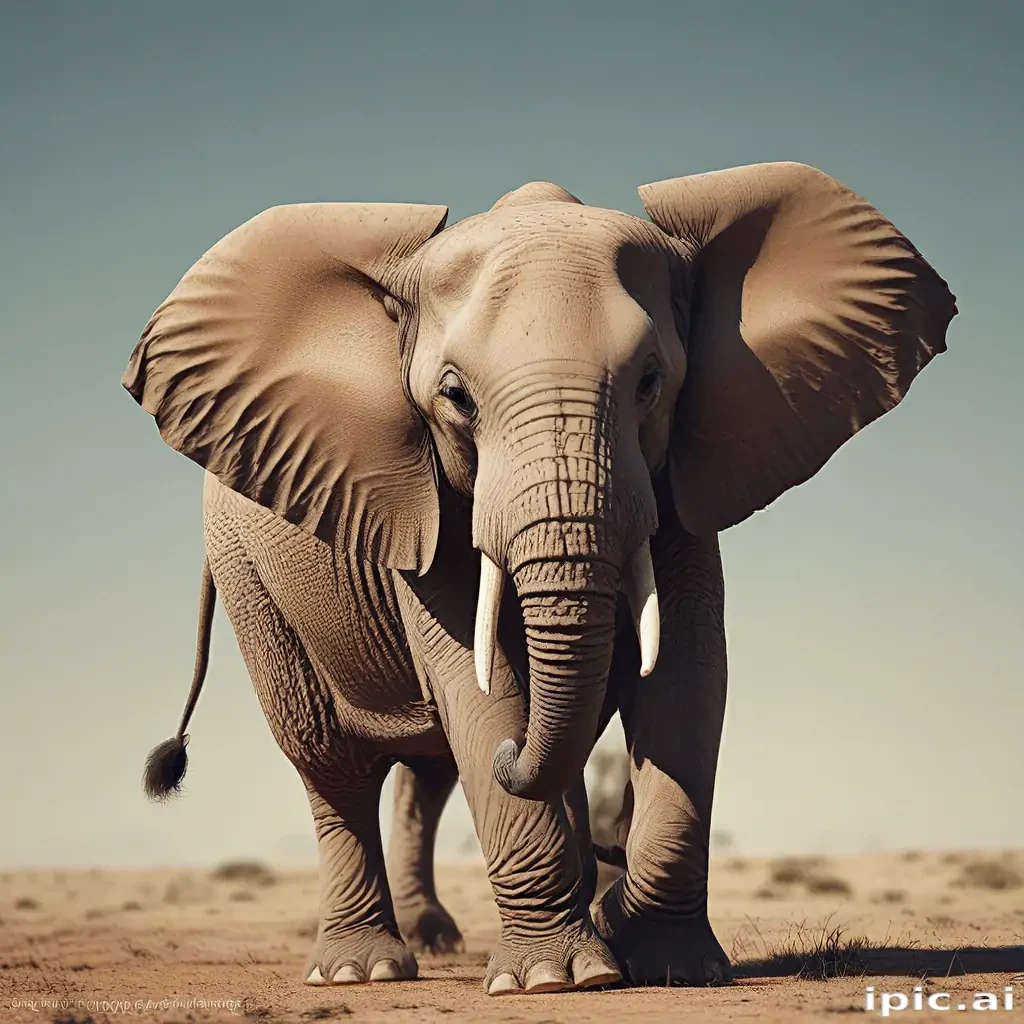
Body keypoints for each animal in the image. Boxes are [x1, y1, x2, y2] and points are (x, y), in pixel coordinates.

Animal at [123, 163, 956, 995]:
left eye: (651, 382)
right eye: (455, 396)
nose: (512, 756)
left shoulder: (686, 480)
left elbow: (686, 677)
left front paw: (671, 965)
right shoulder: (424, 506)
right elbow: (481, 684)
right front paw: (556, 978)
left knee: (429, 776)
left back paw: (446, 939)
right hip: (249, 577)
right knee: (331, 763)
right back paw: (364, 969)